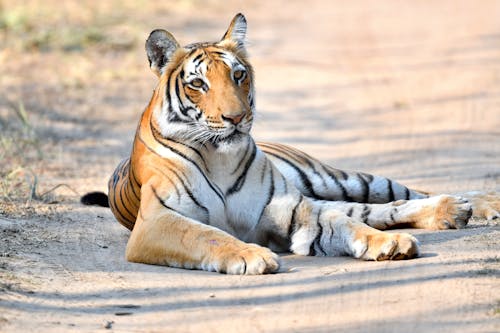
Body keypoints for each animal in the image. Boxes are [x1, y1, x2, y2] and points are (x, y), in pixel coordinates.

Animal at [80, 13, 498, 274]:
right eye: (198, 83)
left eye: (238, 75)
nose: (235, 118)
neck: (218, 157)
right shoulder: (158, 221)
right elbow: (208, 235)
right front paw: (252, 256)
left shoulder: (294, 209)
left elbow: (348, 226)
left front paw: (387, 244)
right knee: (374, 208)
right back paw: (454, 211)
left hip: (332, 179)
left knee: (395, 196)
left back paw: (472, 204)